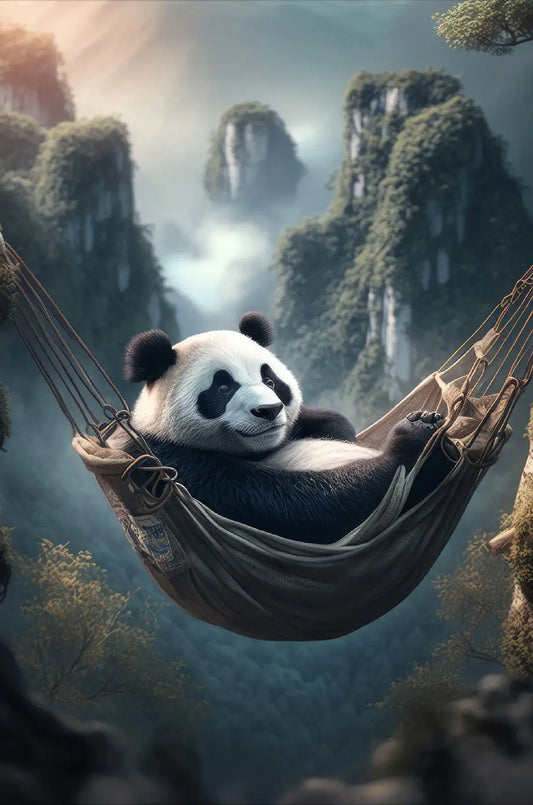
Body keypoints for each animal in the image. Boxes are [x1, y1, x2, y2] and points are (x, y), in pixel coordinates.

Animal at [115, 312, 449, 544]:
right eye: (223, 389)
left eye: (270, 381)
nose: (269, 410)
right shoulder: (173, 464)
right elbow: (292, 506)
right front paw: (410, 443)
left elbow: (328, 422)